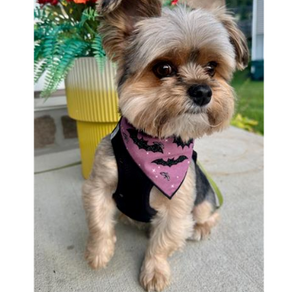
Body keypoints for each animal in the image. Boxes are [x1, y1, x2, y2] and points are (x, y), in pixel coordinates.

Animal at [82, 1, 248, 290]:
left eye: (211, 67)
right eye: (164, 69)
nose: (203, 91)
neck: (156, 140)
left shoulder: (178, 204)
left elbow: (162, 243)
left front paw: (154, 271)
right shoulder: (99, 185)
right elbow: (99, 222)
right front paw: (98, 253)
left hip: (202, 198)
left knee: (211, 212)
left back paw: (201, 228)